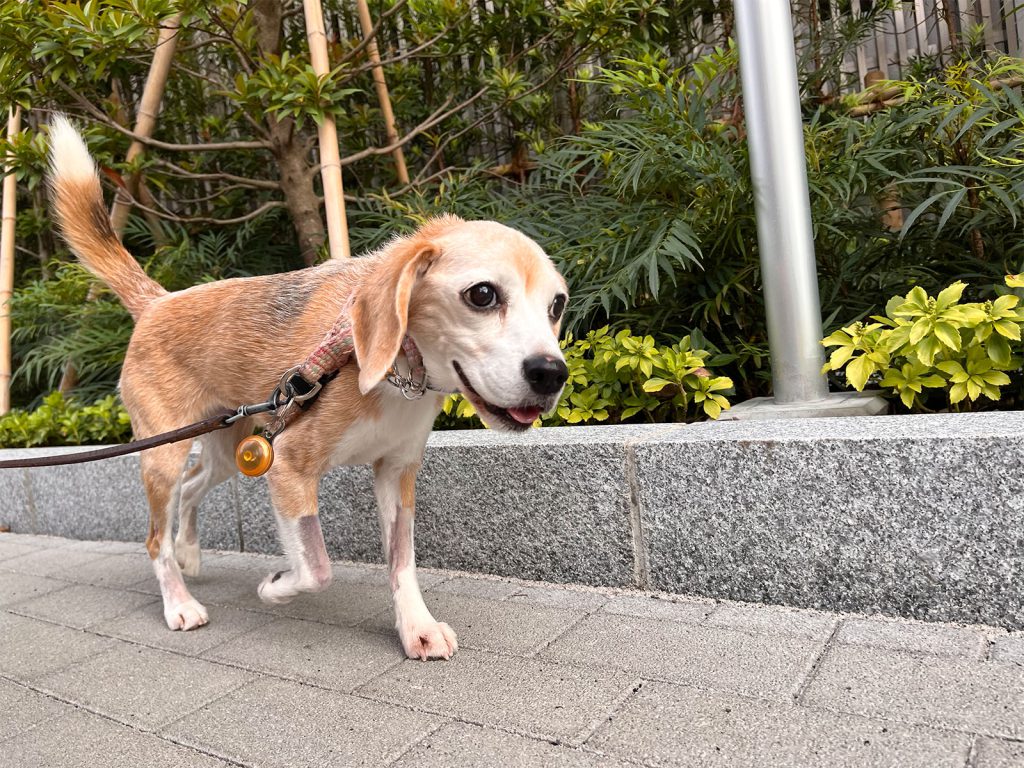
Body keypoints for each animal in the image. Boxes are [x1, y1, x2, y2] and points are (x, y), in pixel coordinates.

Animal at [48, 118, 569, 663]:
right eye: (482, 294)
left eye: (557, 305)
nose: (552, 374)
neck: (396, 370)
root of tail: (156, 300)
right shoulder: (289, 468)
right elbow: (316, 568)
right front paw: (276, 584)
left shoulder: (397, 472)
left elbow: (402, 561)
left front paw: (416, 626)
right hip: (163, 455)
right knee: (155, 538)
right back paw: (180, 604)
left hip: (228, 447)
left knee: (191, 489)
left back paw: (189, 552)